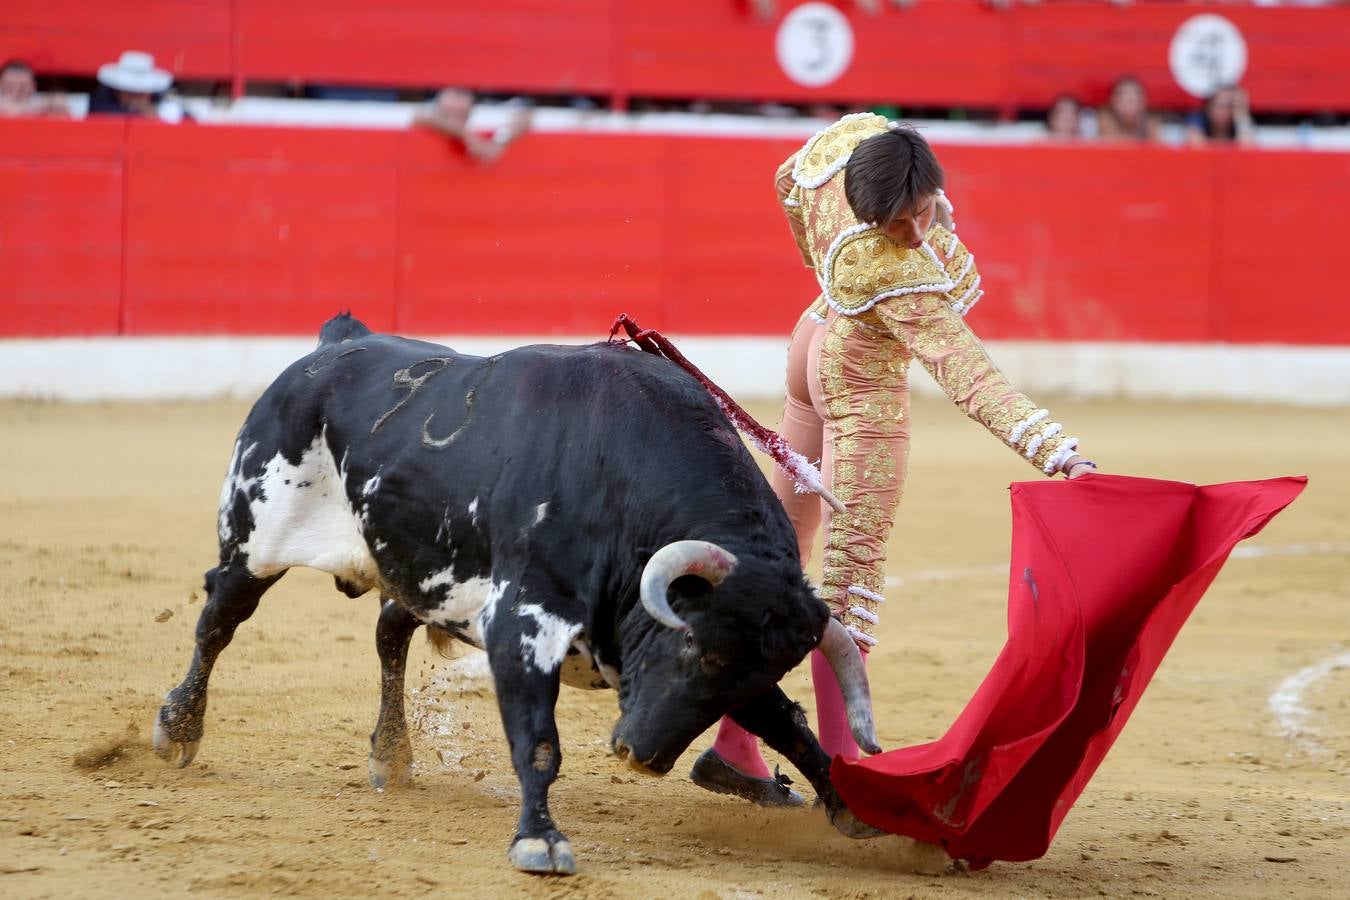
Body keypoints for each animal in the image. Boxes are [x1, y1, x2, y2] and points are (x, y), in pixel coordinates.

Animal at [155, 315, 874, 874]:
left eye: (736, 673)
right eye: (694, 647)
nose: (639, 755)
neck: (621, 482)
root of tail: (337, 345)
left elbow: (790, 725)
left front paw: (852, 807)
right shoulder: (523, 622)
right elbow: (537, 739)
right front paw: (539, 840)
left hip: (416, 568)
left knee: (388, 633)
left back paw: (391, 754)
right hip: (254, 538)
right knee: (219, 620)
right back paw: (177, 727)